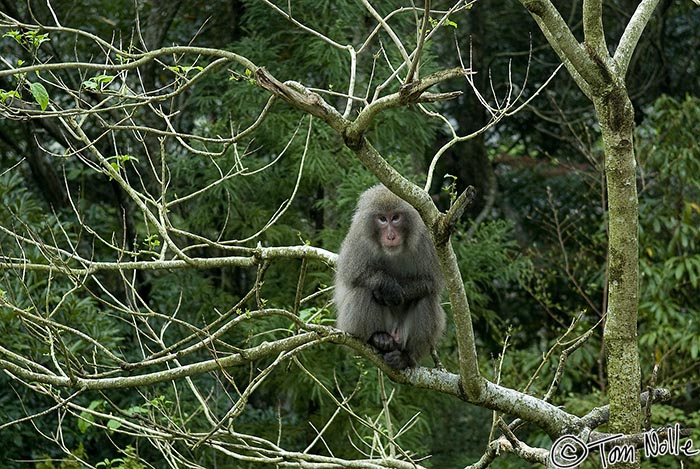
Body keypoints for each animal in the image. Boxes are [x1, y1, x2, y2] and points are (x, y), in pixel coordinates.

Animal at [332, 185, 442, 368]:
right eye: (382, 219)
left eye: (395, 218)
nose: (391, 236)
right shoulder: (357, 238)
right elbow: (351, 275)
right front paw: (387, 286)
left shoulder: (426, 239)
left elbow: (431, 283)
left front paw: (398, 292)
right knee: (363, 291)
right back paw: (377, 339)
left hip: (402, 337)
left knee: (426, 298)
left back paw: (405, 357)